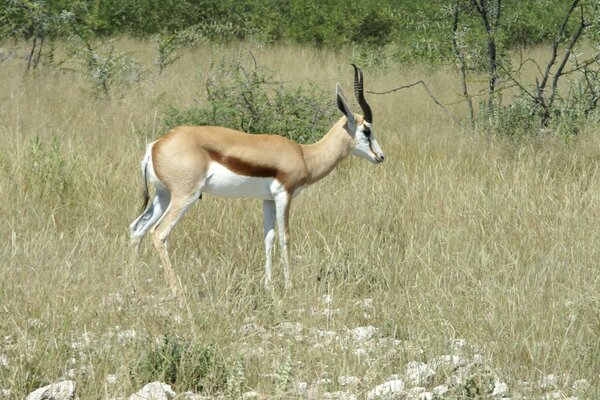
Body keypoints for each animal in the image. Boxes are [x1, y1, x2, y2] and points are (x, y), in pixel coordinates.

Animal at [131, 65, 384, 296]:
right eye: (367, 130)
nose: (380, 156)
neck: (305, 155)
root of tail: (156, 145)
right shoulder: (284, 195)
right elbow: (284, 237)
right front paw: (289, 286)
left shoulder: (267, 200)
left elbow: (268, 238)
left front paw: (269, 286)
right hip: (185, 196)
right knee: (159, 233)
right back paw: (177, 290)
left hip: (163, 196)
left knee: (137, 228)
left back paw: (134, 284)